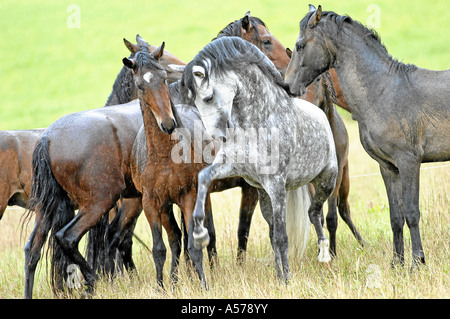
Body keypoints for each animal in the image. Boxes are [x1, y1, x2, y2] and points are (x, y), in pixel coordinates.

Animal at [23, 45, 177, 300]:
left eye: (163, 77)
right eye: (140, 86)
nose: (168, 124)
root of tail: (47, 138)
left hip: (47, 210)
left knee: (32, 251)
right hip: (97, 204)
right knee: (67, 237)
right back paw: (92, 280)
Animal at [182, 36, 338, 284]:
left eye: (208, 97)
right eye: (195, 102)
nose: (219, 136)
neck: (258, 119)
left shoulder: (277, 184)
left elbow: (282, 237)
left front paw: (287, 281)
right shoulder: (233, 167)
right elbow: (203, 177)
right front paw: (198, 234)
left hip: (326, 179)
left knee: (313, 213)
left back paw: (323, 253)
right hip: (264, 194)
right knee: (279, 228)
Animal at [284, 5, 450, 268]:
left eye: (301, 45)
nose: (288, 86)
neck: (383, 91)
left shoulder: (409, 162)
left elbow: (412, 213)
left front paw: (418, 263)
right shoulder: (388, 167)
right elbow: (396, 216)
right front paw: (397, 264)